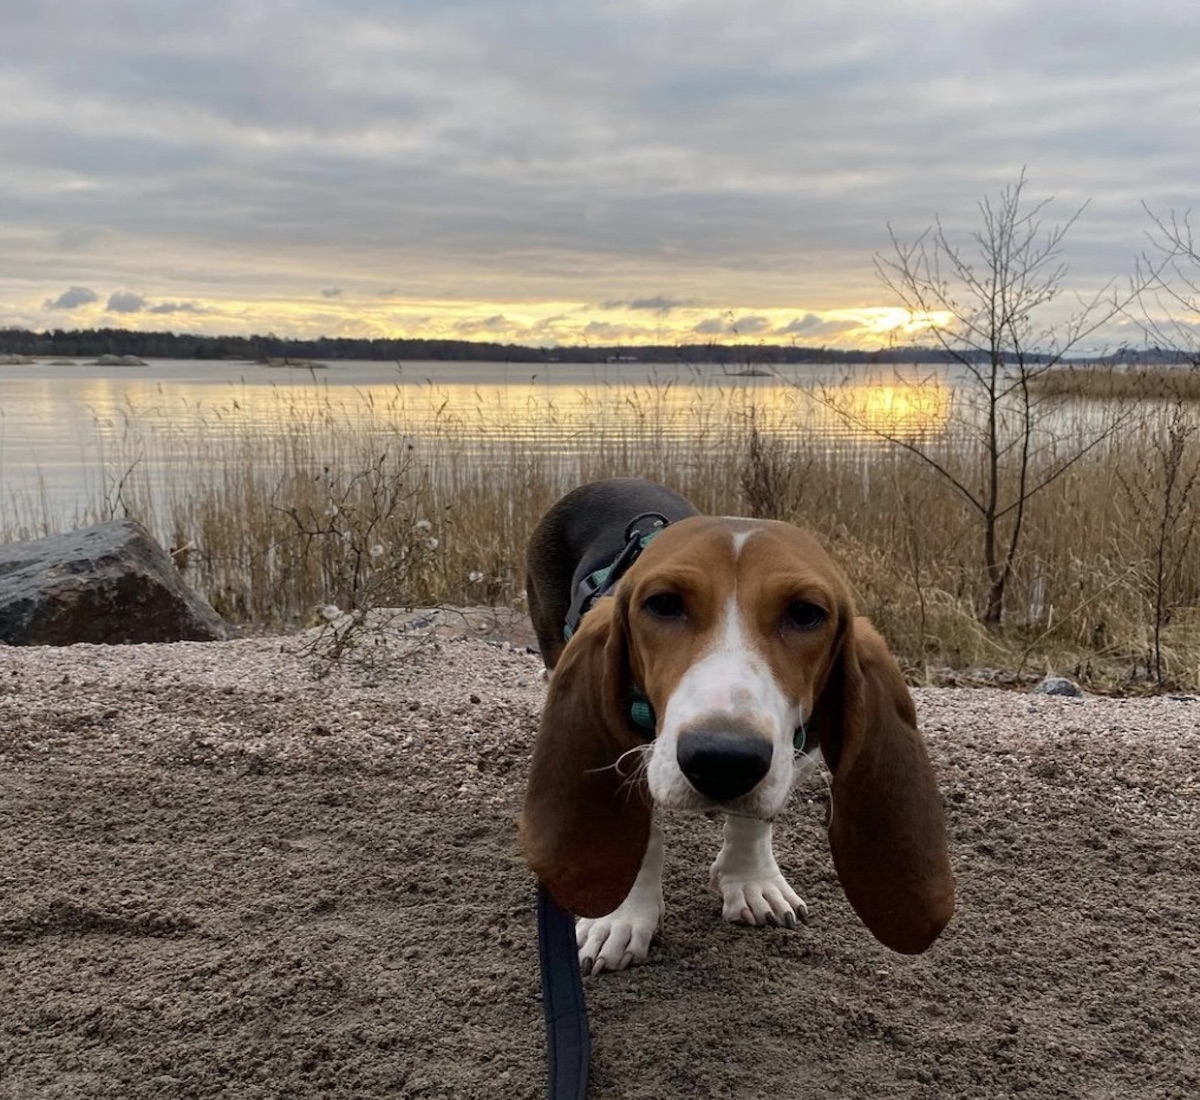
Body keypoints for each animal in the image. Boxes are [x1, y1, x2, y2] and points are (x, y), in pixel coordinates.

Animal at [520, 477, 950, 974]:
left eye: (806, 613)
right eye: (663, 604)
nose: (722, 759)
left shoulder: (798, 750)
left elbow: (756, 817)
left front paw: (751, 880)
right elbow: (644, 836)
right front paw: (621, 917)